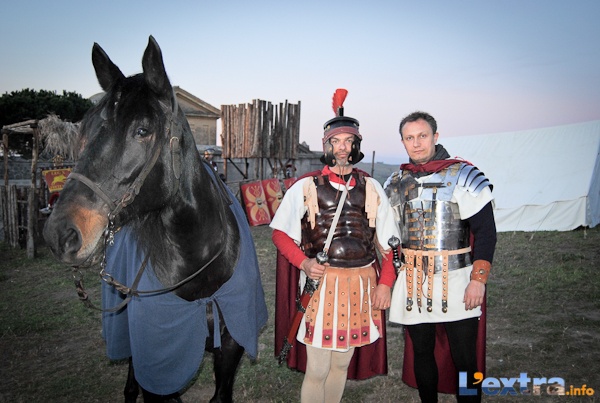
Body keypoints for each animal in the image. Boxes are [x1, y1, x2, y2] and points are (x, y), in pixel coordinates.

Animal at [43, 36, 268, 403]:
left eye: (143, 130)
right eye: (85, 132)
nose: (60, 234)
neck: (199, 265)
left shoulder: (231, 348)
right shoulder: (160, 368)